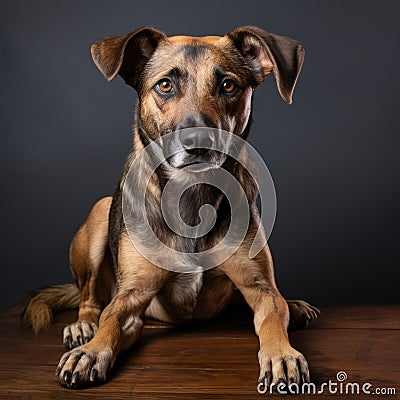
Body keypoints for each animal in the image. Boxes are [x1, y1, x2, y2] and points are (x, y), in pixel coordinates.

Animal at [23, 26, 320, 390]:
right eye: (165, 85)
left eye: (228, 85)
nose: (198, 143)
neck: (190, 195)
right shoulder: (131, 298)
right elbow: (111, 319)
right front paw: (91, 351)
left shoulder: (259, 288)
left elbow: (273, 315)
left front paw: (281, 353)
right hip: (99, 216)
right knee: (90, 298)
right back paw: (83, 326)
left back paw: (294, 305)